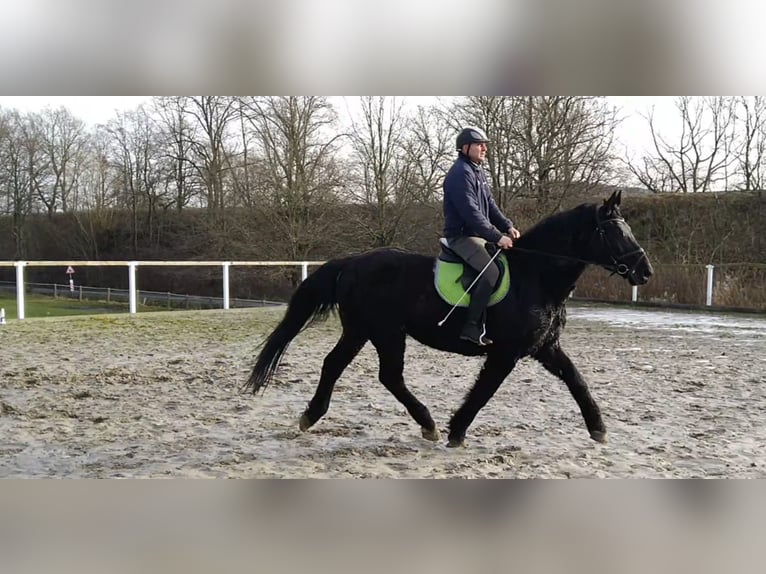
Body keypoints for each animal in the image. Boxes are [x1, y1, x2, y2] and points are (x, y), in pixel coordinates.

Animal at [246, 191, 656, 448]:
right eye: (614, 231)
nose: (645, 271)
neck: (536, 275)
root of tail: (351, 262)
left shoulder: (545, 347)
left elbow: (576, 380)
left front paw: (598, 429)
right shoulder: (505, 352)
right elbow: (484, 391)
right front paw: (456, 431)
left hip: (362, 331)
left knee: (336, 365)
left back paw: (312, 416)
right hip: (384, 332)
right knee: (387, 375)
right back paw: (426, 424)